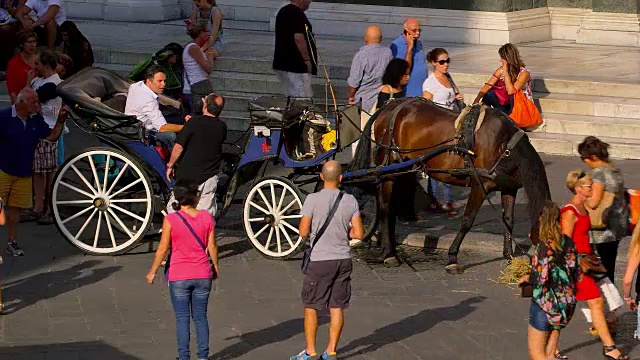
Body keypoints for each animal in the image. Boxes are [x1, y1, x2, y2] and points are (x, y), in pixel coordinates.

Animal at [350, 97, 552, 272]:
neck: (506, 146)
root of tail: (390, 106)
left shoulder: (508, 188)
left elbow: (508, 221)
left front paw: (509, 256)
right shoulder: (480, 185)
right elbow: (467, 220)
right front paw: (453, 256)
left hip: (404, 168)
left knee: (392, 206)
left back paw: (390, 248)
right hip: (388, 168)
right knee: (384, 207)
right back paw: (388, 253)